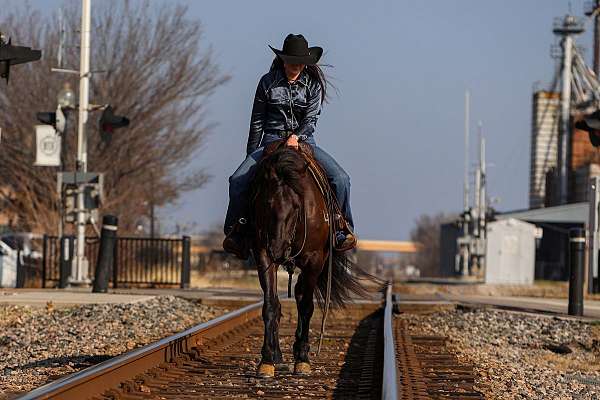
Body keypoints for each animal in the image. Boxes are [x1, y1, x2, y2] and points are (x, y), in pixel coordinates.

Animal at [247, 144, 370, 378]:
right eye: (266, 205)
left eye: (297, 206)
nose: (277, 250)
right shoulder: (263, 254)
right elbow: (270, 305)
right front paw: (266, 361)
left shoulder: (314, 261)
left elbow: (306, 306)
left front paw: (302, 359)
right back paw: (277, 355)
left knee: (300, 295)